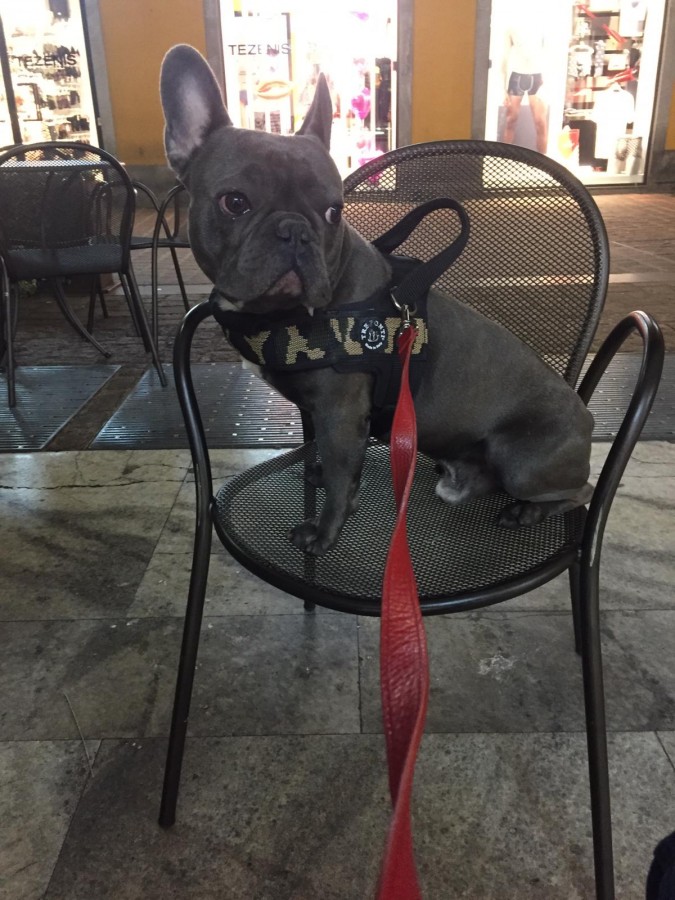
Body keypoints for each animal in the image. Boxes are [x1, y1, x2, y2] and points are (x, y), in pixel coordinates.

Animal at [160, 45, 594, 556]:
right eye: (234, 202)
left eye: (333, 211)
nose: (295, 231)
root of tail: (587, 419)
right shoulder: (324, 413)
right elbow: (331, 462)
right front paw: (319, 477)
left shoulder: (340, 411)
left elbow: (341, 477)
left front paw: (324, 532)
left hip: (522, 462)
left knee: (581, 491)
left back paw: (527, 511)